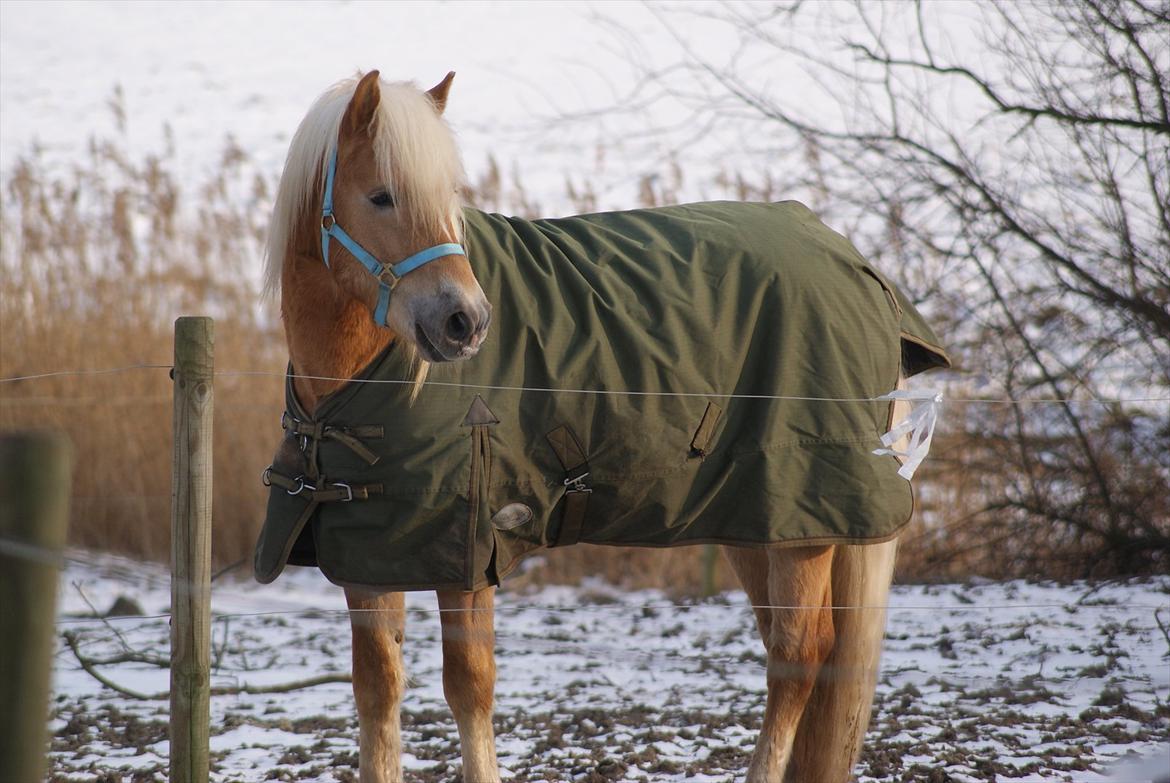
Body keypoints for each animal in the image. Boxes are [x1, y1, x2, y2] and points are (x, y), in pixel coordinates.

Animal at [260, 70, 945, 777]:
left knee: (798, 654)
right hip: (765, 524)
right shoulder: (370, 554)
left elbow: (469, 686)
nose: (466, 323)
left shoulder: (471, 553)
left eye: (448, 196)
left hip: (806, 524)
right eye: (380, 196)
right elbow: (376, 690)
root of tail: (858, 266)